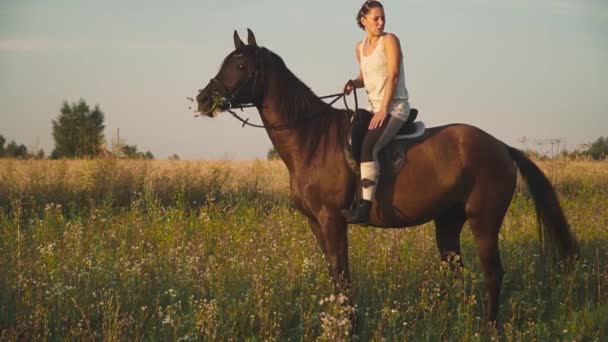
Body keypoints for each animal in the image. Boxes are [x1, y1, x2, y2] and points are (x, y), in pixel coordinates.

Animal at [195, 28, 580, 322]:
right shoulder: (315, 223)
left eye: (240, 65)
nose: (203, 99)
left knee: (492, 274)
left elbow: (343, 277)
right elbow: (334, 275)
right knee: (454, 269)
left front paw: (349, 326)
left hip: (483, 220)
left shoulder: (332, 220)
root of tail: (501, 146)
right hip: (448, 221)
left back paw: (489, 326)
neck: (312, 138)